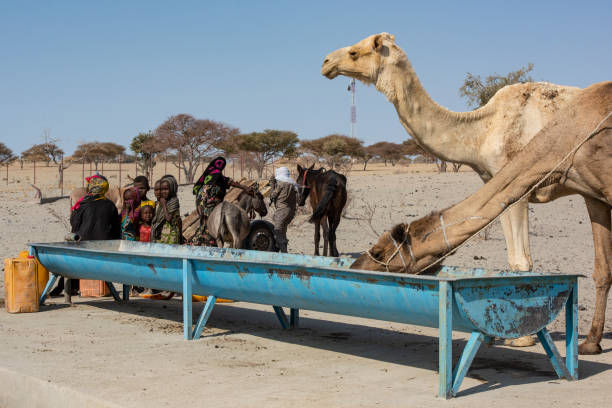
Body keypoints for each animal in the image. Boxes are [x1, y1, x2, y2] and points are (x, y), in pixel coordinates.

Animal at [350, 81, 612, 356]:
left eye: (378, 253)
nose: (354, 267)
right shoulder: (593, 194)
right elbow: (603, 268)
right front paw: (590, 343)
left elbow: (520, 260)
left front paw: (522, 339)